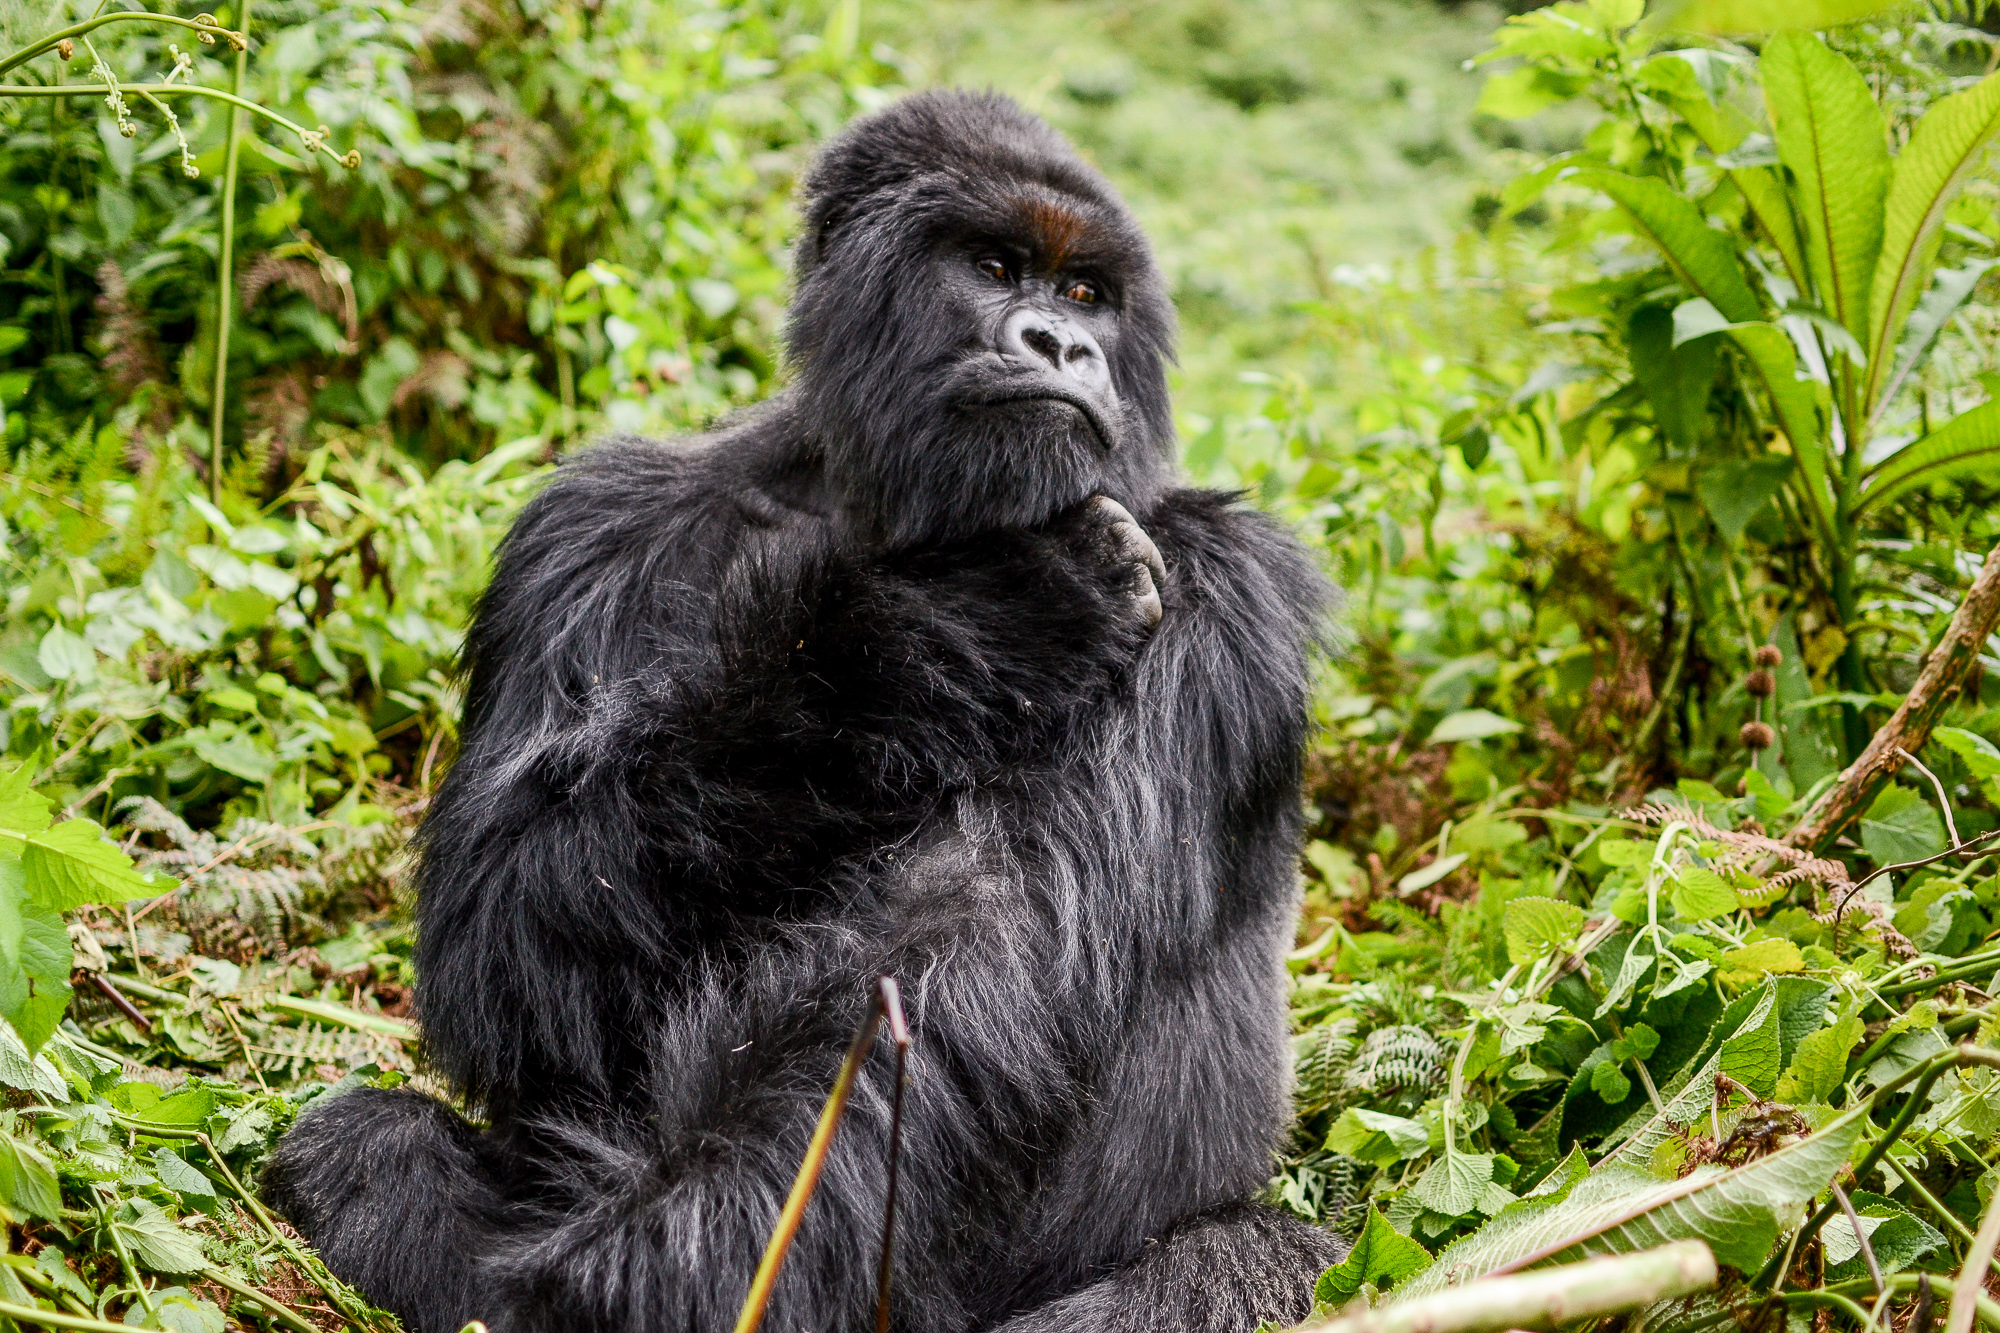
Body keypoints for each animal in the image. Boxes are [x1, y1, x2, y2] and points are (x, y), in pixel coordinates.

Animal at [258, 88, 1336, 1320]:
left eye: (1083, 295)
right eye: (993, 265)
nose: (1061, 344)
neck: (878, 498)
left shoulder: (1219, 572)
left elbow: (962, 931)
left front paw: (643, 1280)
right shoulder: (582, 530)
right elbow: (506, 941)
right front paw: (973, 617)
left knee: (1221, 1269)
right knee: (362, 1135)